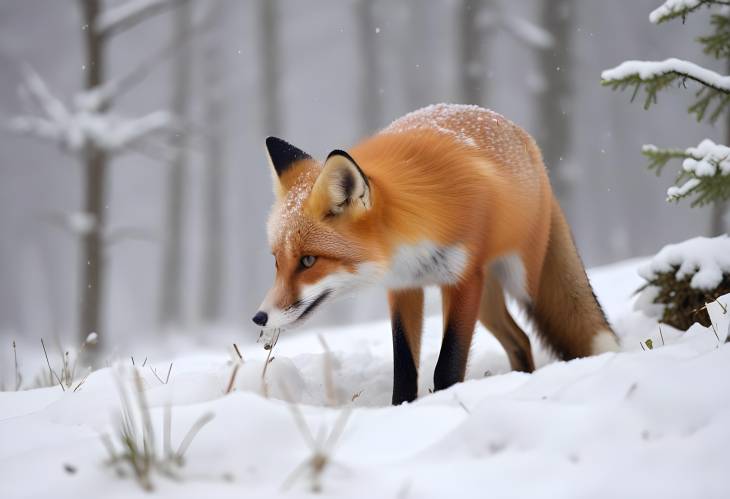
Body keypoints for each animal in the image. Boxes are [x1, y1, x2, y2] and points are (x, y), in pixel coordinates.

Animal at [253, 104, 616, 406]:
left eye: (308, 260)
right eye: (276, 260)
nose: (259, 318)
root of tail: (523, 137)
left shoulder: (464, 280)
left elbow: (448, 365)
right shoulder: (403, 287)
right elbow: (405, 367)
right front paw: (402, 408)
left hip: (522, 282)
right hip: (487, 302)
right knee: (520, 339)